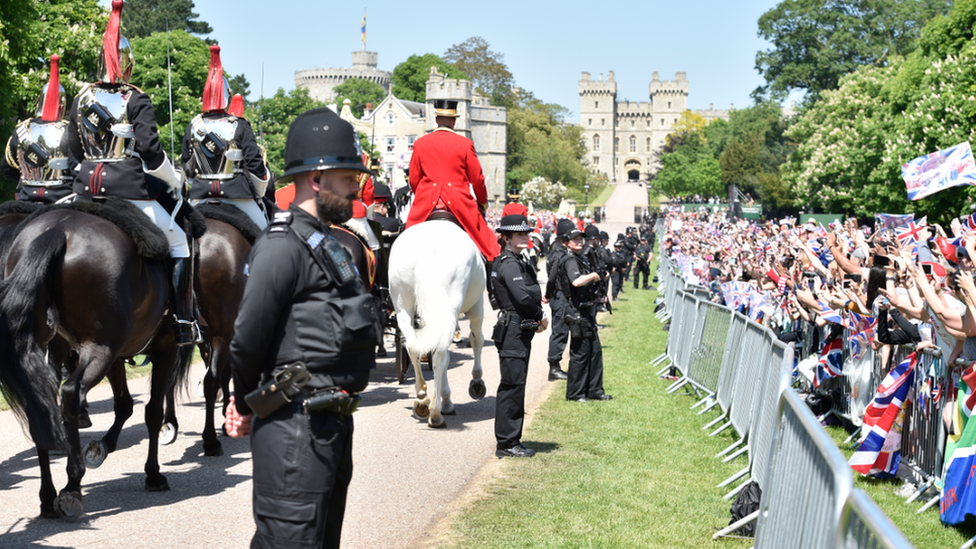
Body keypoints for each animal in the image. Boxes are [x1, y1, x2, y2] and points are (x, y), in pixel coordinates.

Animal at [0, 202, 196, 520]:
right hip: (100, 348)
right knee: (70, 393)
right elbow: (152, 412)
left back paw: (48, 497)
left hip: (56, 347)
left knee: (41, 404)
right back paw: (72, 486)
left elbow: (125, 404)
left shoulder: (113, 354)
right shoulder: (164, 348)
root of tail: (58, 230)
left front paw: (102, 447)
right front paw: (153, 474)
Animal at [386, 218, 484, 428]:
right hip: (451, 309)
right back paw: (436, 412)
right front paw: (477, 382)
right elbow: (476, 340)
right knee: (440, 355)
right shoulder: (476, 306)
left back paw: (423, 398)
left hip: (403, 307)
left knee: (413, 346)